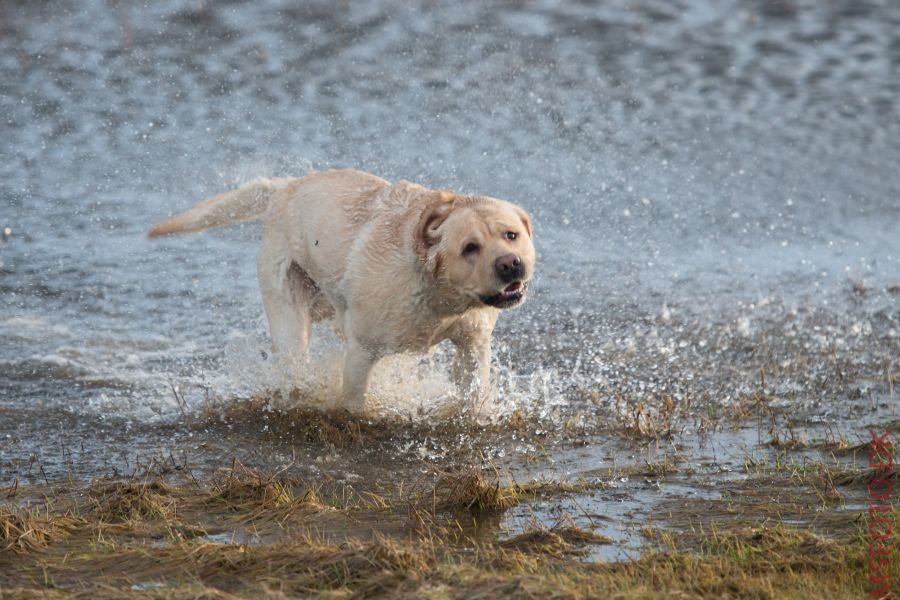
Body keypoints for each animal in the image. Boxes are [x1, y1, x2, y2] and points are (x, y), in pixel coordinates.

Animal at [148, 166, 536, 414]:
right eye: (470, 247)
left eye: (511, 235)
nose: (510, 264)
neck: (438, 292)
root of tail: (286, 187)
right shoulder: (362, 351)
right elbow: (354, 402)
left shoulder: (473, 344)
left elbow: (474, 393)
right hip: (289, 316)